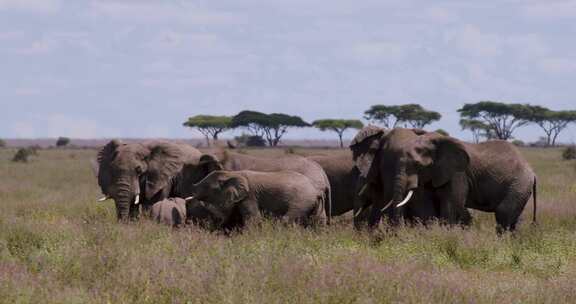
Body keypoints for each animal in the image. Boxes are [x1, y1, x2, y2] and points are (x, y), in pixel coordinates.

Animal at [182, 170, 326, 229]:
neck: (231, 173)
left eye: (206, 187)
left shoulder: (249, 196)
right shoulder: (239, 199)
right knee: (319, 222)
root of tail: (316, 191)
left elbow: (254, 219)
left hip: (301, 200)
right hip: (315, 204)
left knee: (287, 220)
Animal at [348, 126, 536, 233]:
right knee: (512, 218)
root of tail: (533, 173)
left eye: (418, 165)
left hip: (519, 185)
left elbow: (452, 203)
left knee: (503, 214)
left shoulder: (458, 173)